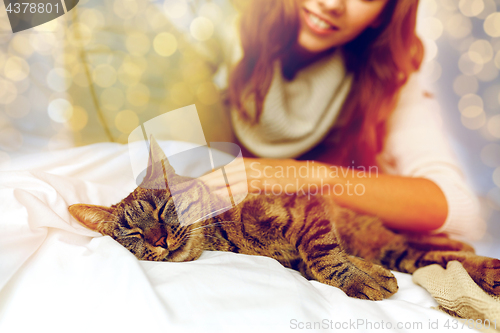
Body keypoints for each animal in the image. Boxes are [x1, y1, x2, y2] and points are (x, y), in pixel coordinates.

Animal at [69, 136, 500, 300]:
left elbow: (323, 254)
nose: (157, 238)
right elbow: (323, 262)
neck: (225, 237)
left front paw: (357, 277)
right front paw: (366, 275)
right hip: (401, 252)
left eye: (162, 209)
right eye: (132, 234)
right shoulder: (298, 260)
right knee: (435, 257)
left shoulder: (310, 210)